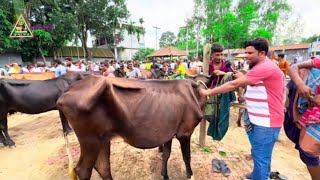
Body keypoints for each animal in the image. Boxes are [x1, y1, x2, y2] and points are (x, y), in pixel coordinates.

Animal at [57, 75, 210, 180]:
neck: (195, 93)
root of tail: (69, 88)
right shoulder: (185, 132)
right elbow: (187, 157)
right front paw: (191, 176)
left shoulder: (168, 133)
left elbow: (166, 154)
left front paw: (165, 175)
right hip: (89, 140)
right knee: (83, 170)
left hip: (102, 139)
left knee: (102, 166)